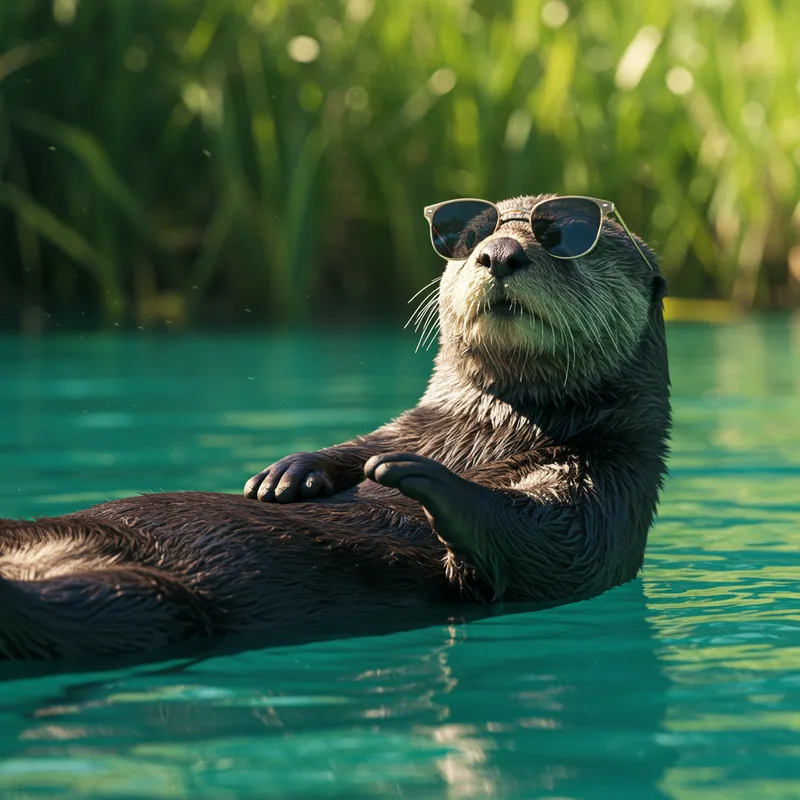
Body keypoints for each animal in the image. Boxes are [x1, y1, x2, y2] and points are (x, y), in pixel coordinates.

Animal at [0, 193, 670, 660]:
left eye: (560, 237)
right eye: (476, 234)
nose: (501, 253)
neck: (487, 434)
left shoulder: (613, 485)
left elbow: (550, 547)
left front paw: (418, 476)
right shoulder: (410, 425)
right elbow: (360, 445)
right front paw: (288, 474)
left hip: (154, 602)